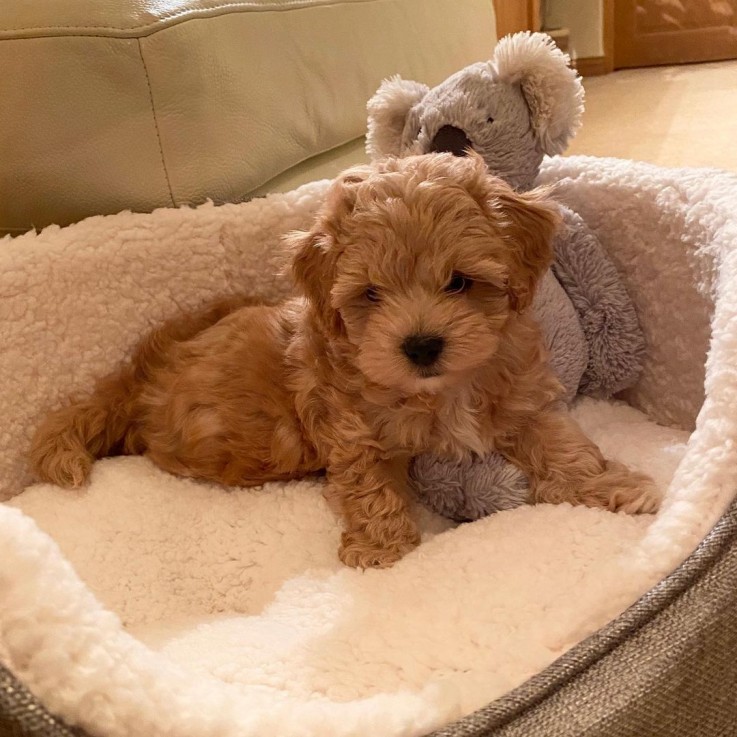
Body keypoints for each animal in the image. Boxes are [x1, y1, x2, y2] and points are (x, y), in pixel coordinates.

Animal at [30, 154, 660, 568]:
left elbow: (563, 445)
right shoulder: (350, 424)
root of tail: (139, 375)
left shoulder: (518, 397)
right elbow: (366, 481)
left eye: (459, 281)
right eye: (371, 294)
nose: (421, 345)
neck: (439, 389)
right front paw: (382, 549)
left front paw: (614, 486)